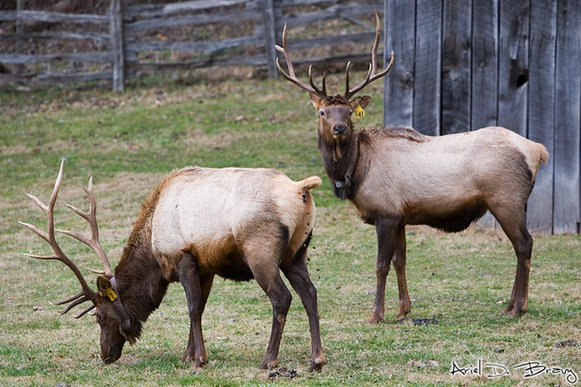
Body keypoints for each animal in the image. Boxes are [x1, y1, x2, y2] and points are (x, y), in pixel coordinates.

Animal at [19, 161, 326, 372]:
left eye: (99, 316)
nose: (105, 355)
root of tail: (300, 188)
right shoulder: (205, 267)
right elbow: (200, 307)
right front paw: (188, 354)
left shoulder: (182, 257)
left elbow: (192, 308)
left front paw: (199, 359)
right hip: (295, 253)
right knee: (310, 293)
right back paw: (316, 359)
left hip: (260, 252)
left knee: (282, 298)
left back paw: (269, 360)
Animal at [276, 12, 548, 322]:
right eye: (323, 111)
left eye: (348, 112)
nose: (340, 128)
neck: (358, 168)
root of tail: (537, 150)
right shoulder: (401, 216)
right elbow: (400, 261)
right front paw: (403, 309)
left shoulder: (386, 213)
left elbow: (381, 264)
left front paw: (376, 315)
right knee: (522, 246)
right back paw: (514, 304)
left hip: (506, 199)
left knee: (524, 244)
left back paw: (517, 306)